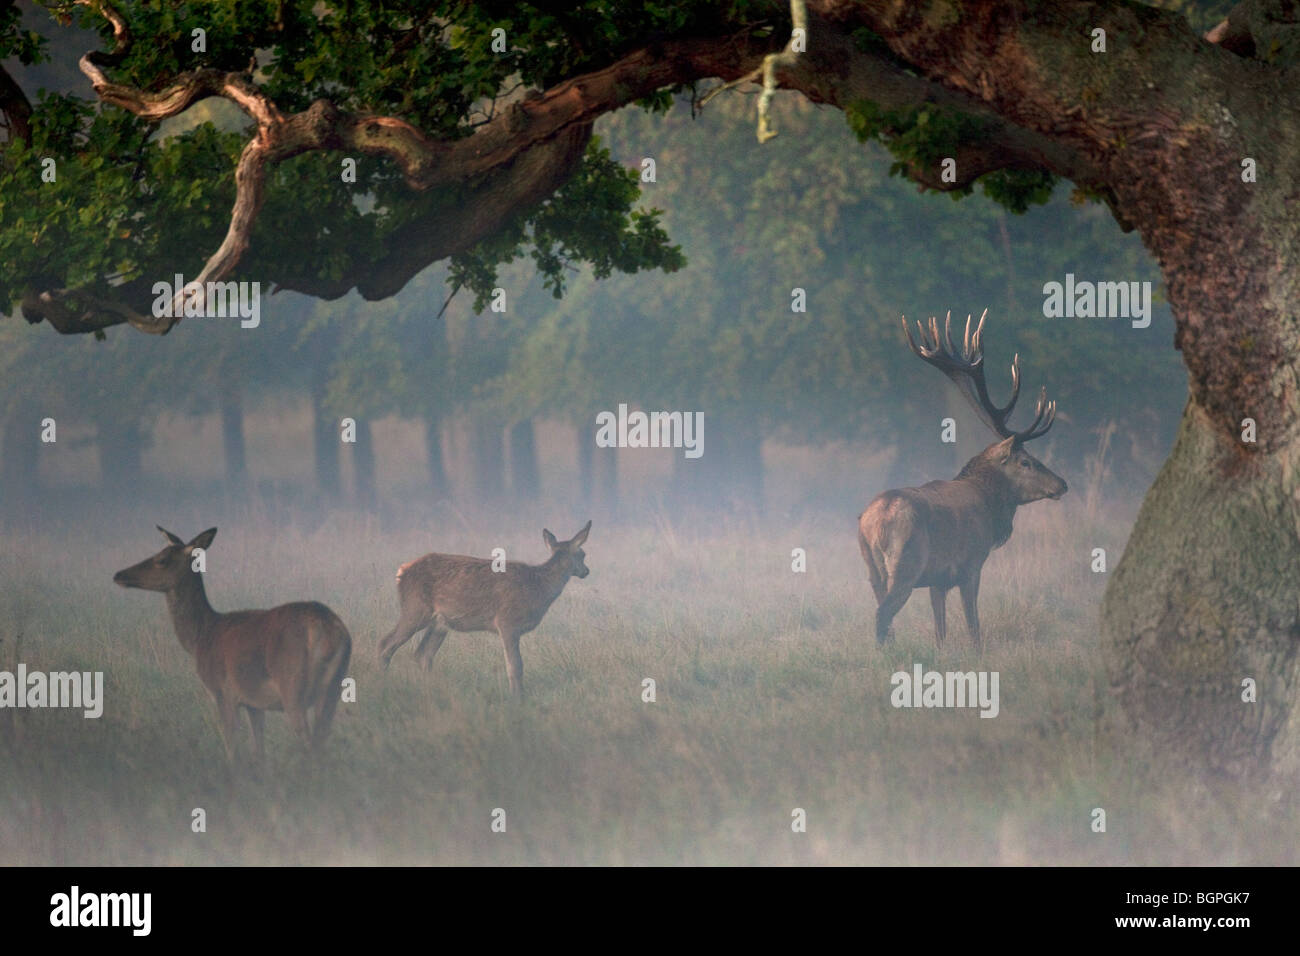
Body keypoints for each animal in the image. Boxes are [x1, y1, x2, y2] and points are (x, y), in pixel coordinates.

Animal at [112, 522, 353, 764]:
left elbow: (232, 748)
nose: (118, 575)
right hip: (332, 688)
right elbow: (259, 750)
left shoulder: (223, 692)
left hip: (293, 687)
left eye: (161, 559)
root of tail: (330, 632)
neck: (201, 637)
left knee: (309, 743)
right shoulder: (254, 703)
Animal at [377, 522, 595, 697]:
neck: (538, 587)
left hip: (439, 623)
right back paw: (383, 683)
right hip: (415, 608)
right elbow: (515, 666)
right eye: (583, 554)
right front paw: (517, 698)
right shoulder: (507, 621)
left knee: (423, 654)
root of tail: (402, 571)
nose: (586, 571)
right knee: (386, 644)